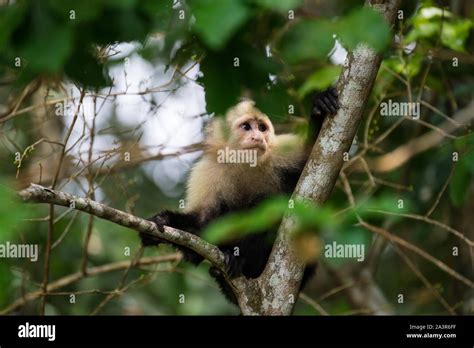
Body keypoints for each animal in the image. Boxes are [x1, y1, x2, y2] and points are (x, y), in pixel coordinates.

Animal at [139, 87, 338, 304]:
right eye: (246, 126)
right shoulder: (206, 172)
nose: (258, 137)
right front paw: (163, 221)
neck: (243, 164)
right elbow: (202, 220)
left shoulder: (279, 153)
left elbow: (314, 163)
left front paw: (319, 109)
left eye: (262, 128)